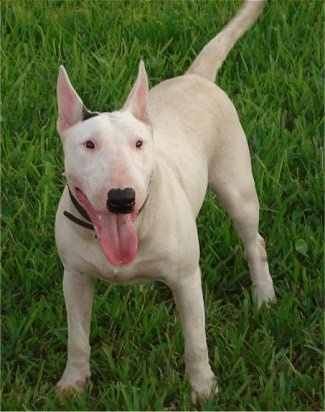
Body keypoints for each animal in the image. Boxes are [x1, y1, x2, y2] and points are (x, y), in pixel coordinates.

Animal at [55, 0, 274, 402]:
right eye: (88, 144)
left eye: (139, 144)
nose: (121, 198)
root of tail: (197, 77)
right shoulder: (75, 277)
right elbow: (77, 337)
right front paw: (72, 383)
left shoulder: (187, 280)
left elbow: (196, 342)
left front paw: (203, 388)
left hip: (238, 189)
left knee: (255, 242)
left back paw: (264, 295)